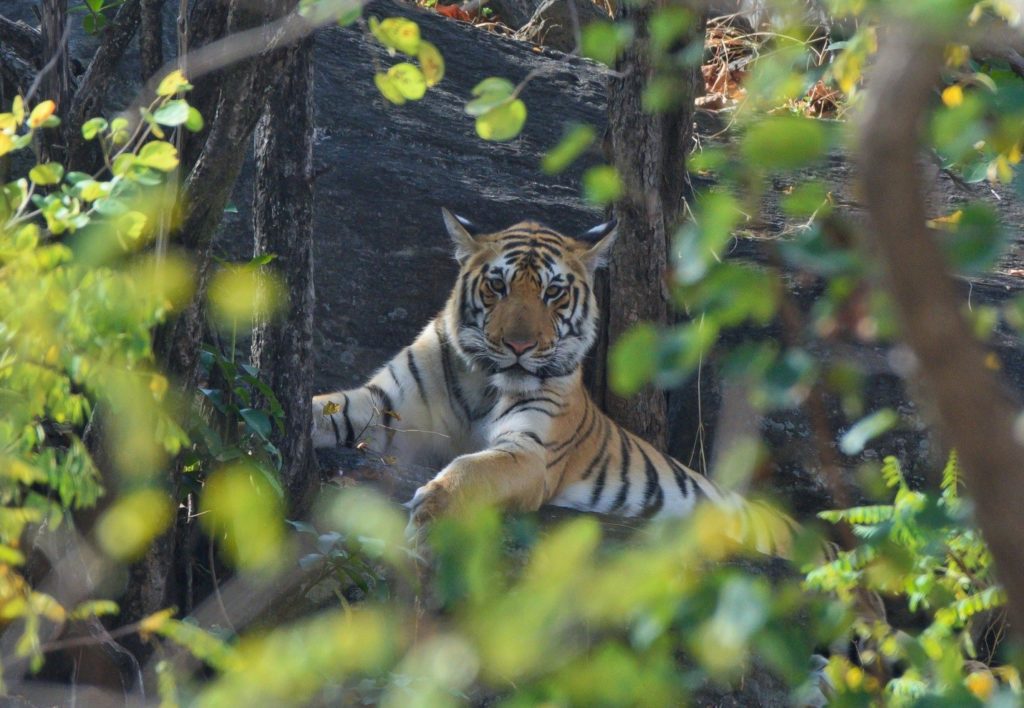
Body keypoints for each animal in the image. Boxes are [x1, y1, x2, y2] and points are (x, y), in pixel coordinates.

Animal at [311, 207, 798, 557]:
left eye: (553, 293)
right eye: (498, 286)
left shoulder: (531, 450)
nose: (519, 345)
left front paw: (431, 513)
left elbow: (472, 468)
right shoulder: (381, 405)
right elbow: (325, 406)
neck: (482, 382)